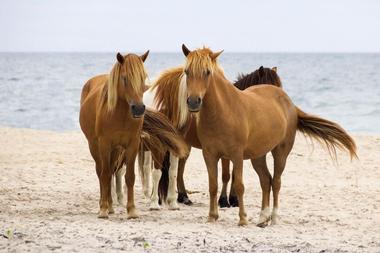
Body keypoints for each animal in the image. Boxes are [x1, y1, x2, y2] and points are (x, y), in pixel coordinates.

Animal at [79, 52, 189, 219]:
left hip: (117, 150)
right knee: (102, 172)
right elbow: (105, 174)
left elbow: (130, 177)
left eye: (142, 78)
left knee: (113, 171)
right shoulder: (105, 145)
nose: (138, 108)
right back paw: (105, 205)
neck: (119, 115)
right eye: (125, 78)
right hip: (95, 146)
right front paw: (103, 209)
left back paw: (111, 205)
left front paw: (131, 210)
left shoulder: (132, 145)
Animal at [180, 44, 356, 226]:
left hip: (281, 153)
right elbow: (213, 185)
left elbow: (239, 185)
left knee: (276, 182)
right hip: (258, 156)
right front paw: (212, 216)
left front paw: (242, 219)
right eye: (187, 71)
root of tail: (289, 102)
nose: (193, 102)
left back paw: (274, 217)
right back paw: (263, 217)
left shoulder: (236, 155)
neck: (223, 110)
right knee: (266, 181)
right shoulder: (209, 155)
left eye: (207, 72)